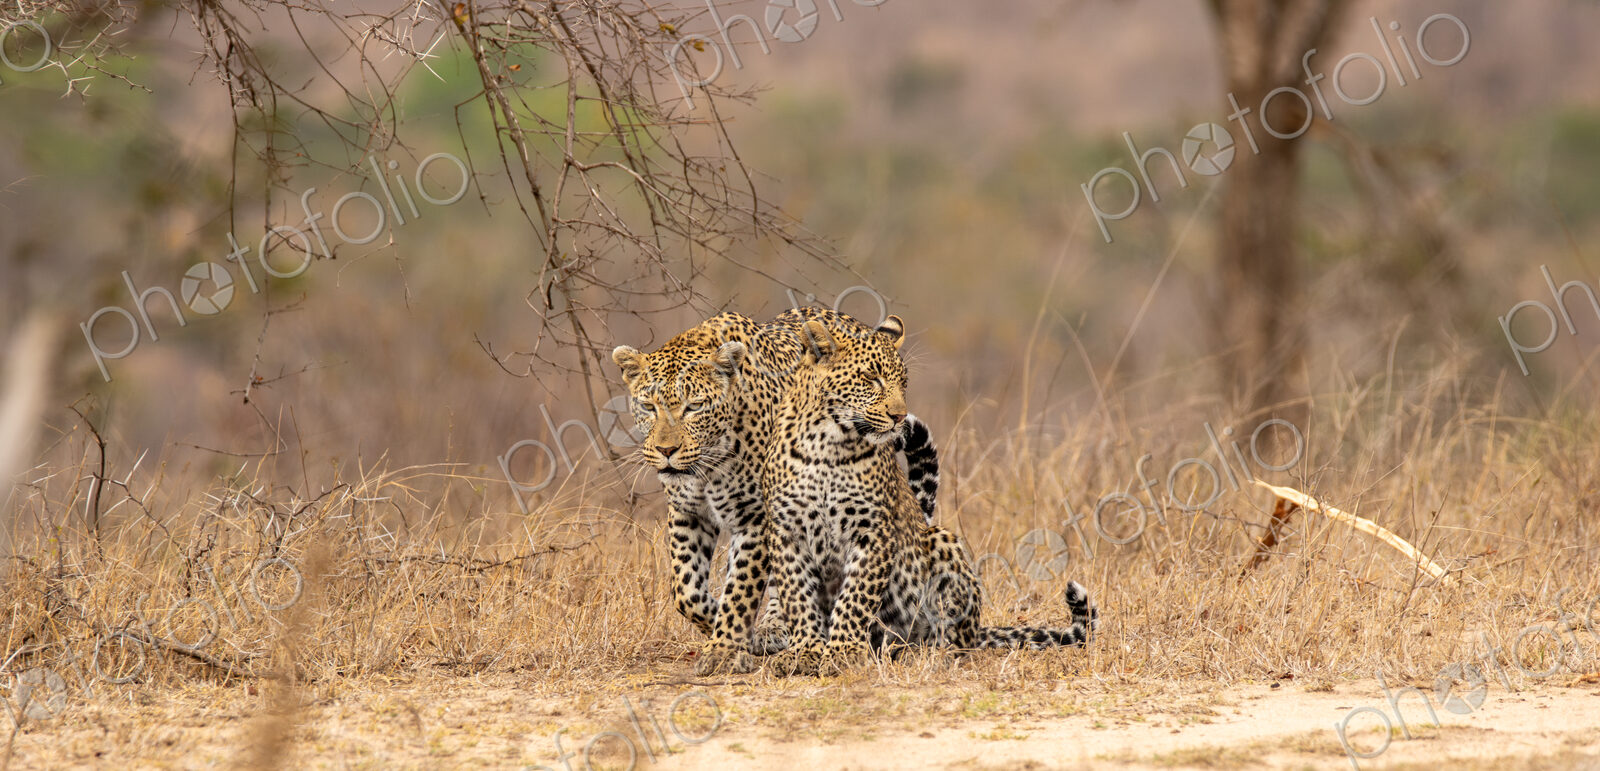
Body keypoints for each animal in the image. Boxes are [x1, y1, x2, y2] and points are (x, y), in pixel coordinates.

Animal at [611, 308, 940, 675]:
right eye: (648, 407)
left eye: (694, 407)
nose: (666, 450)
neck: (708, 463)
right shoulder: (686, 513)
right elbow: (686, 590)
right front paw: (726, 629)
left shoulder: (755, 517)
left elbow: (741, 587)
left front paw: (726, 648)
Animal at [762, 315, 1096, 677]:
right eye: (871, 378)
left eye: (903, 382)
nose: (898, 417)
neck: (826, 444)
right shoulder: (787, 530)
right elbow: (797, 597)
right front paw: (805, 650)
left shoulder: (872, 530)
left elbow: (855, 597)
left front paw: (842, 651)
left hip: (941, 543)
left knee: (954, 636)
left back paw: (926, 653)